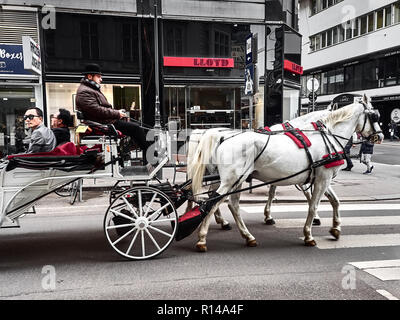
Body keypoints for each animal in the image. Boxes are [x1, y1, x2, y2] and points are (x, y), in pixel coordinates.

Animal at [186, 110, 332, 230]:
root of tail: (208, 133)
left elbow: (272, 193)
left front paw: (268, 216)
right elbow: (307, 194)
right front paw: (316, 217)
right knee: (212, 195)